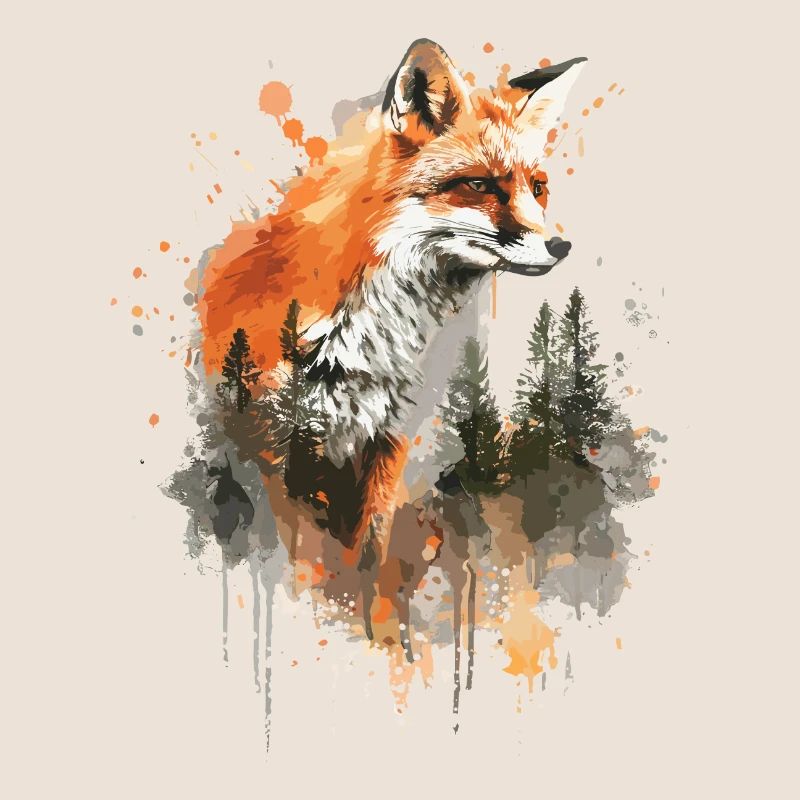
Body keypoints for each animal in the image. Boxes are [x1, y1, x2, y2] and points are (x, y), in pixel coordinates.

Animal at [200, 39, 586, 565]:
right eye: (480, 185)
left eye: (538, 187)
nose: (560, 246)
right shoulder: (275, 445)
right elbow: (299, 561)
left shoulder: (385, 439)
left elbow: (368, 555)